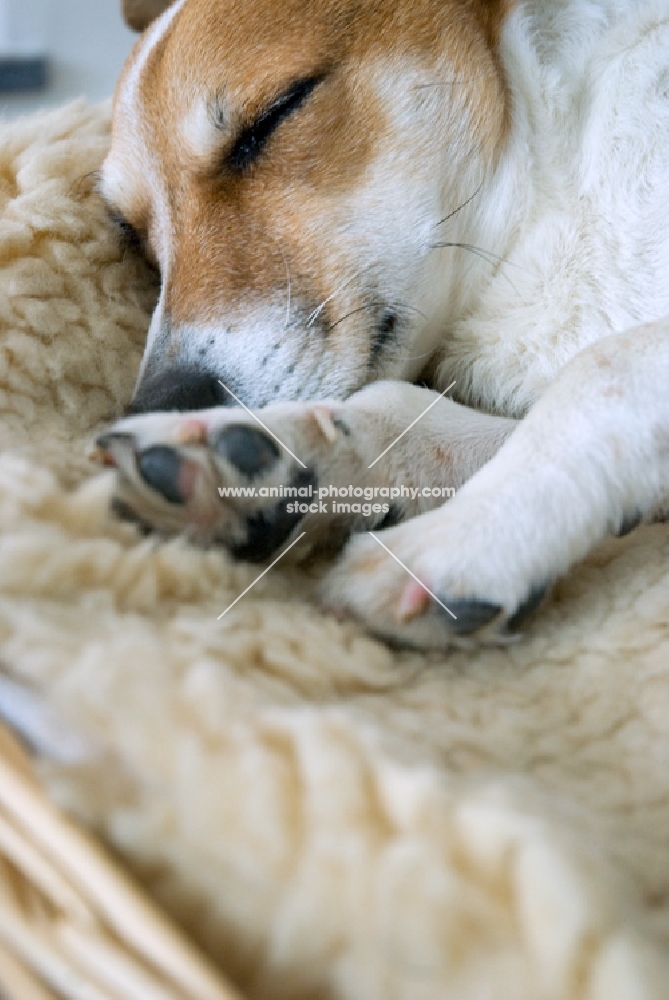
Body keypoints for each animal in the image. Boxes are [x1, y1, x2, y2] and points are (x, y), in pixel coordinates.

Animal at [96, 0, 668, 648]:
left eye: (277, 112)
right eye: (128, 228)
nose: (163, 400)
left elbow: (602, 368)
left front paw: (460, 537)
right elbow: (413, 410)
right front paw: (285, 449)